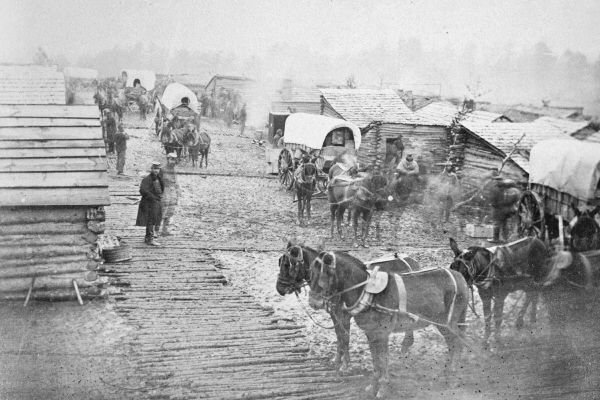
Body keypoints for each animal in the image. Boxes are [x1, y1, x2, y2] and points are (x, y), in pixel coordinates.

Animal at [276, 241, 422, 376]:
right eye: (280, 263)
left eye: (287, 265)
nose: (279, 289)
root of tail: (410, 260)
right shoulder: (335, 315)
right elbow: (339, 337)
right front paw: (337, 360)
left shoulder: (344, 316)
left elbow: (344, 337)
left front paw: (345, 365)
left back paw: (406, 345)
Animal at [310, 250, 468, 396]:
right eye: (311, 273)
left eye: (324, 274)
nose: (313, 302)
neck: (367, 293)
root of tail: (460, 277)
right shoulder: (371, 333)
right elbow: (375, 361)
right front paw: (373, 386)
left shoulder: (382, 334)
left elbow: (383, 360)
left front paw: (383, 387)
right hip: (443, 324)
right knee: (453, 344)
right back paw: (447, 372)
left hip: (448, 323)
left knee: (457, 343)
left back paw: (453, 376)